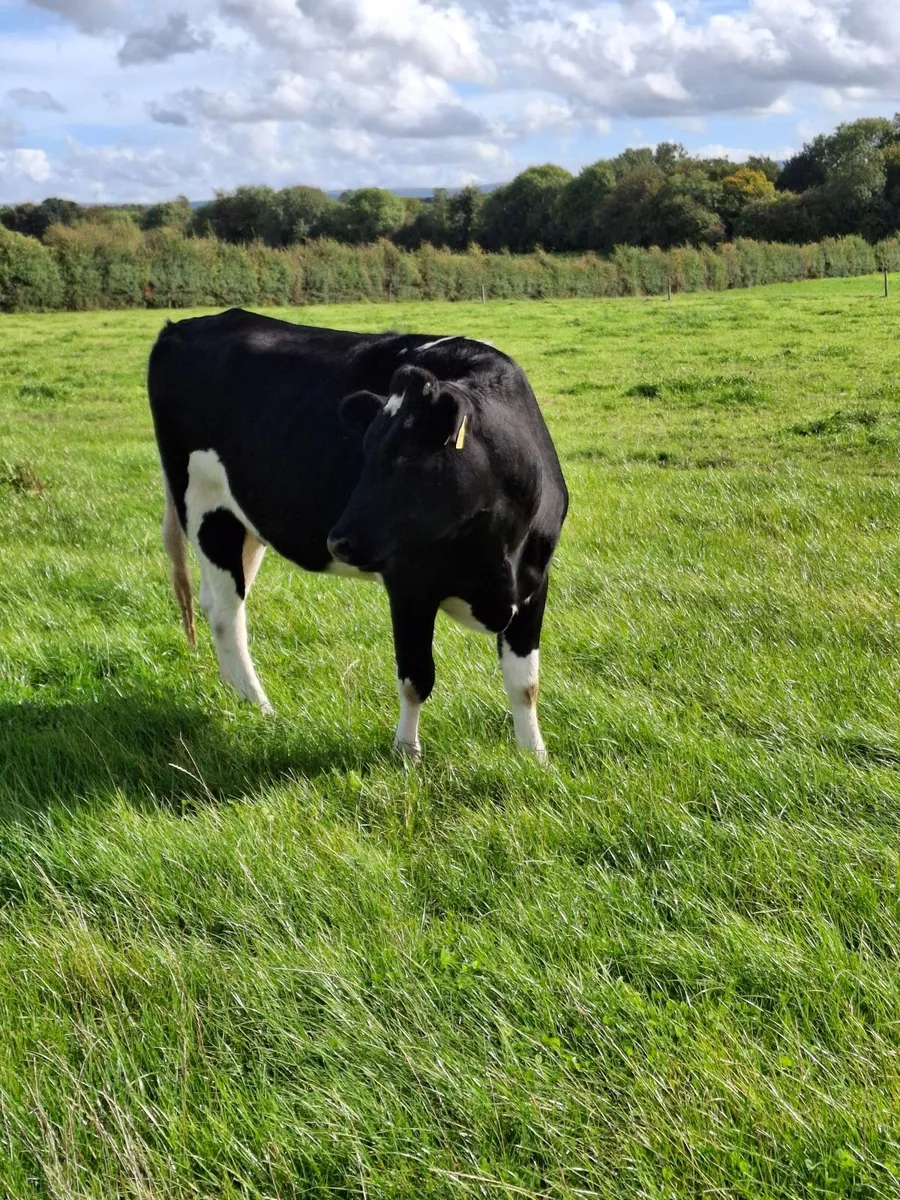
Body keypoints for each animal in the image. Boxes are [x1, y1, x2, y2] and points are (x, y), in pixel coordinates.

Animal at [148, 308, 568, 761]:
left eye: (408, 454)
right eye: (364, 450)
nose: (338, 542)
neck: (495, 550)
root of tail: (183, 324)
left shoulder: (533, 582)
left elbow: (525, 683)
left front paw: (534, 756)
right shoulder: (409, 584)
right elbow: (416, 678)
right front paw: (406, 754)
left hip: (246, 524)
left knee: (217, 603)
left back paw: (234, 694)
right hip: (205, 505)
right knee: (227, 612)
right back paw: (259, 707)